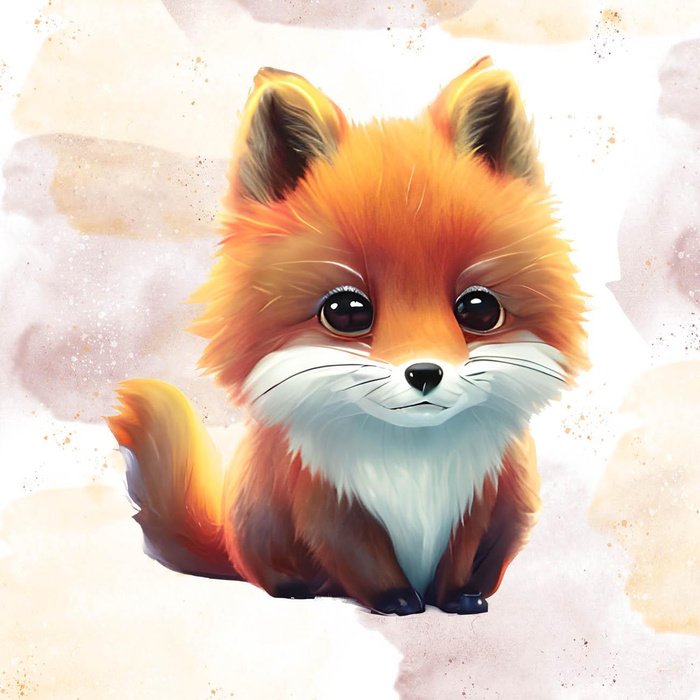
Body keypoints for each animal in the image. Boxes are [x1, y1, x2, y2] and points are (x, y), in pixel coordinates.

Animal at [107, 56, 588, 616]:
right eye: (347, 312)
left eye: (479, 308)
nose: (425, 372)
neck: (413, 463)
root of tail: (225, 532)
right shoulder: (325, 503)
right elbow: (364, 561)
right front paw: (397, 601)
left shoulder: (482, 498)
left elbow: (461, 560)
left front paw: (458, 599)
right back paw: (296, 589)